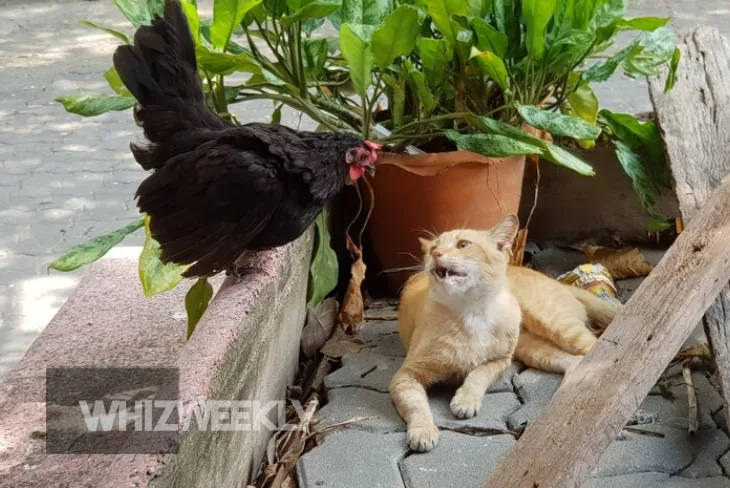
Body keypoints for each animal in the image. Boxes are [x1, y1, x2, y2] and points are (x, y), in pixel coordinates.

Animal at [390, 215, 616, 452]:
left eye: (464, 245)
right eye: (433, 247)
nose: (436, 254)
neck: (471, 313)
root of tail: (557, 281)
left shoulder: (500, 362)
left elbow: (477, 375)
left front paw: (465, 400)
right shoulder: (406, 376)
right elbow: (417, 405)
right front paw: (423, 430)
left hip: (557, 327)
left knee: (597, 348)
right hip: (530, 348)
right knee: (575, 360)